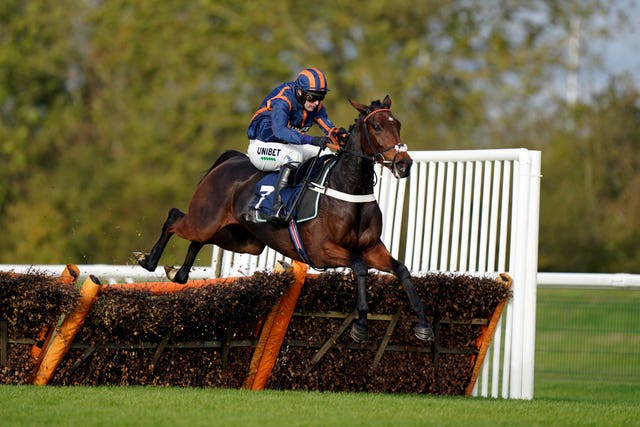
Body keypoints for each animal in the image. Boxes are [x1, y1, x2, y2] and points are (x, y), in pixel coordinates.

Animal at [134, 95, 436, 342]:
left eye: (397, 124)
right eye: (376, 126)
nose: (404, 164)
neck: (347, 188)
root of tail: (229, 160)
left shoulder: (373, 248)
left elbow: (402, 270)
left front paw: (423, 325)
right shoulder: (323, 250)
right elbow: (360, 268)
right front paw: (360, 324)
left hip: (243, 239)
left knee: (200, 240)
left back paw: (178, 273)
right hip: (206, 220)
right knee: (174, 218)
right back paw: (148, 260)